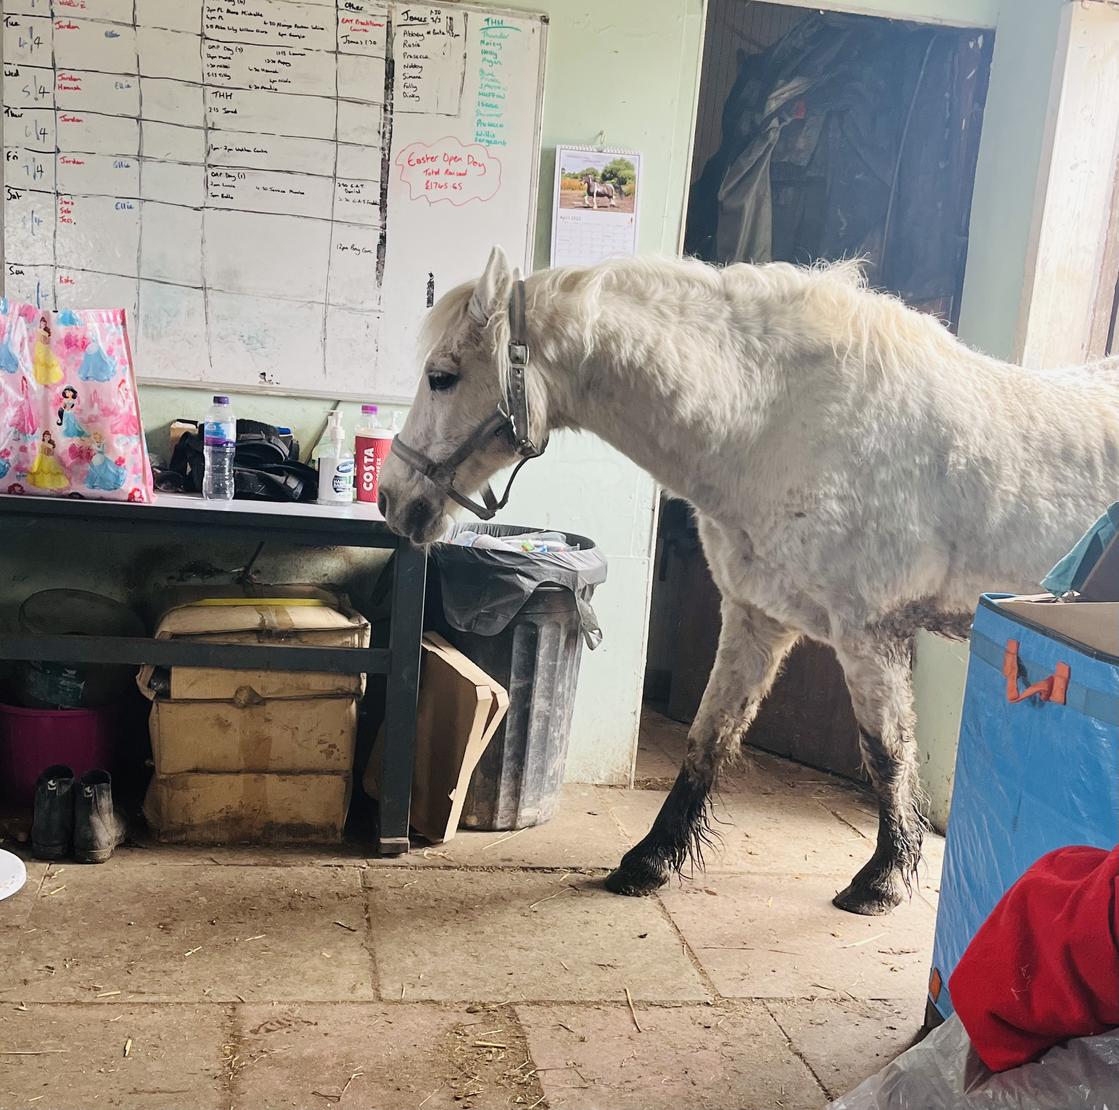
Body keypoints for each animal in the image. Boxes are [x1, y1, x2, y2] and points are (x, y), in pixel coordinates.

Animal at [379, 245, 1119, 917]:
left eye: (442, 376)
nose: (392, 499)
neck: (775, 422)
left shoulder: (869, 633)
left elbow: (885, 753)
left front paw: (878, 882)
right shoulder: (755, 617)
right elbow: (707, 739)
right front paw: (649, 862)